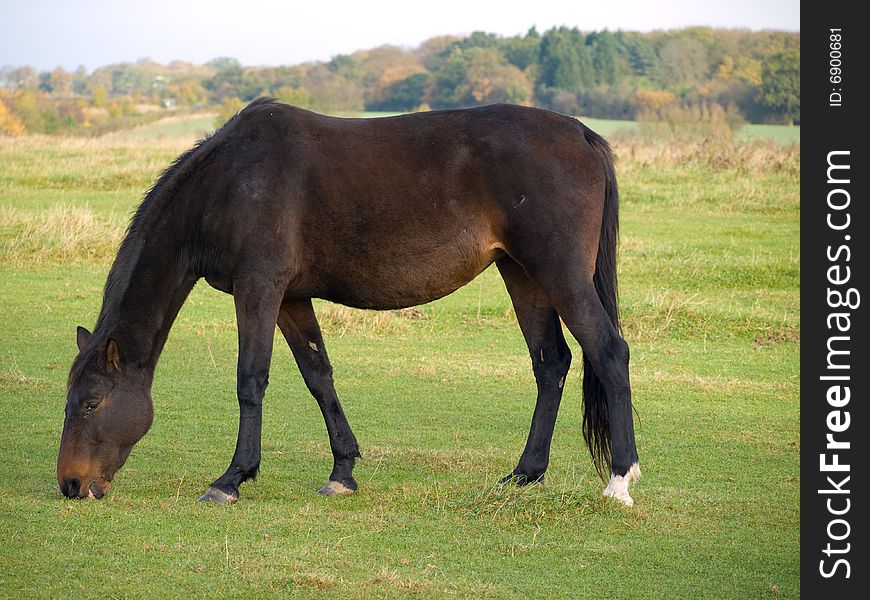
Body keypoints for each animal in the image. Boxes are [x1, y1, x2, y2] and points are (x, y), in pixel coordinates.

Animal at [56, 98, 640, 506]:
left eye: (91, 403)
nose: (71, 484)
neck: (230, 181)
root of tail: (580, 134)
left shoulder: (259, 288)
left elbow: (251, 380)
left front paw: (232, 478)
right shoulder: (291, 298)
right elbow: (319, 377)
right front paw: (342, 472)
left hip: (558, 274)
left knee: (609, 352)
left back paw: (620, 480)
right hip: (522, 275)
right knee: (552, 363)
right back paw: (524, 474)